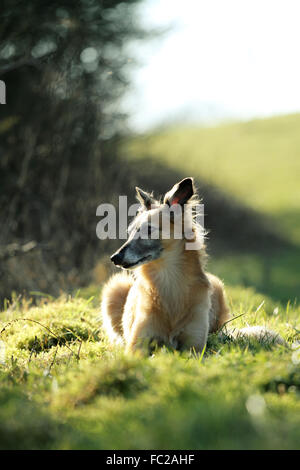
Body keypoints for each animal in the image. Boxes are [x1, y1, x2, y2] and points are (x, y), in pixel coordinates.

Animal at [101, 176, 284, 352]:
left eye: (149, 230)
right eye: (130, 232)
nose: (114, 258)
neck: (169, 280)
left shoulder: (194, 346)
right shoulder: (138, 344)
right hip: (116, 286)